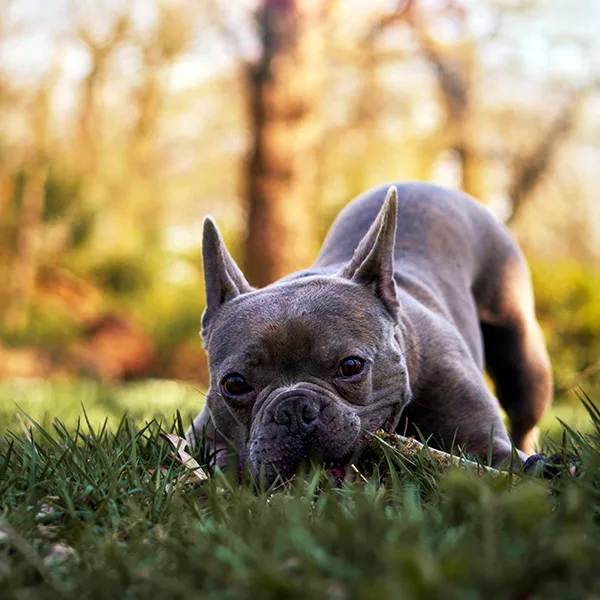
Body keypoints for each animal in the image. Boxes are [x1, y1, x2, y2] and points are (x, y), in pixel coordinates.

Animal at [188, 183, 552, 482]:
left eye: (351, 366)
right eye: (235, 384)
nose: (294, 410)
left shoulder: (485, 443)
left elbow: (503, 461)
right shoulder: (201, 437)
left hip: (522, 358)